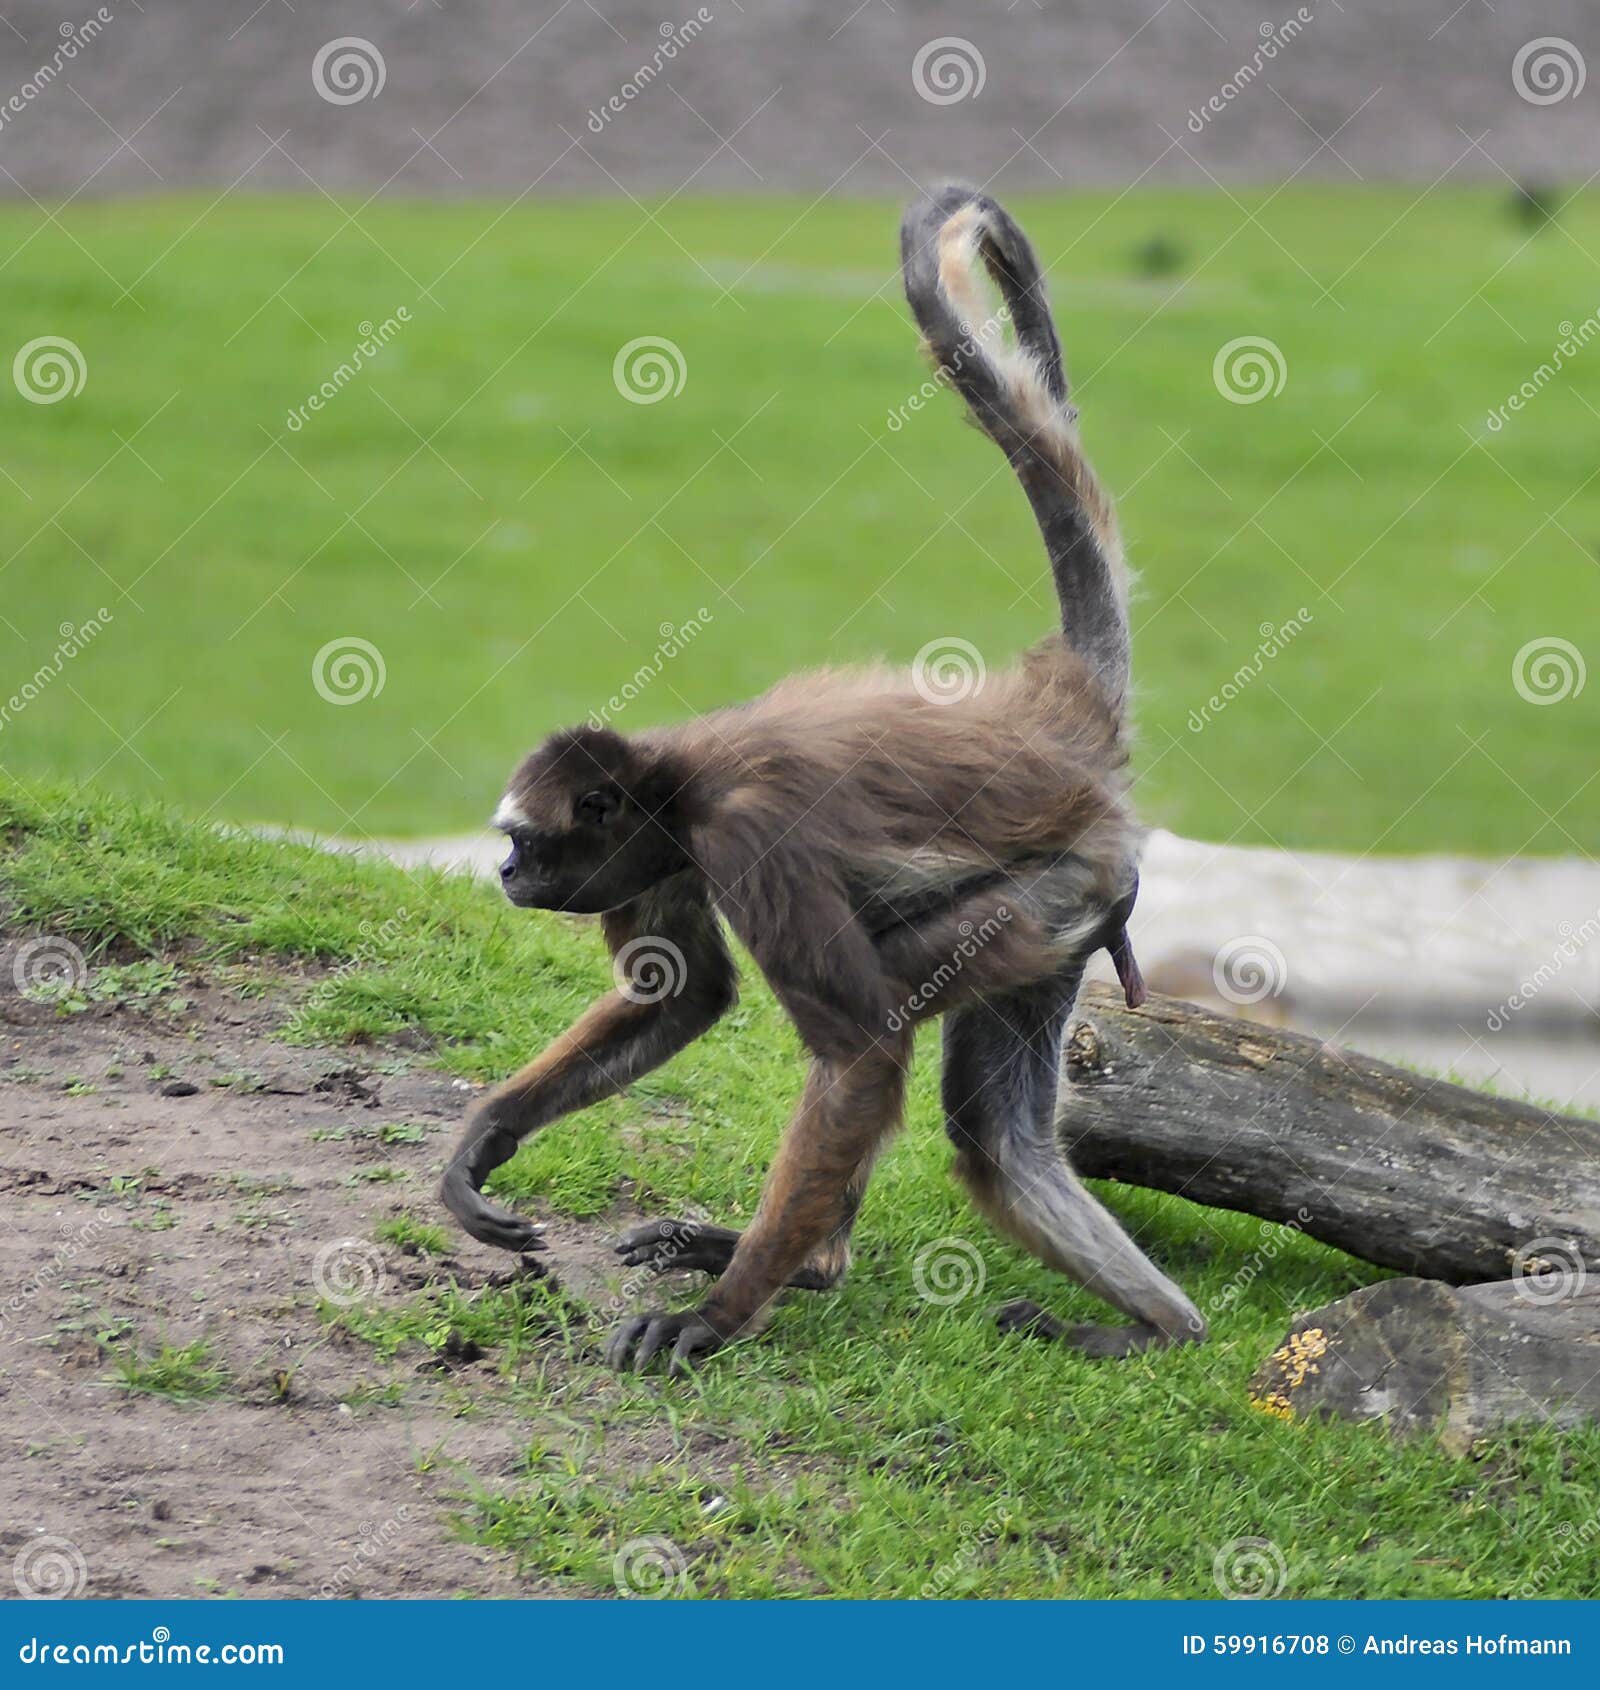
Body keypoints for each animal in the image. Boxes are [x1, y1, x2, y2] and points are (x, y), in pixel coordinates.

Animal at [440, 181, 1207, 1376]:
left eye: (522, 839)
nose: (507, 876)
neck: (681, 777)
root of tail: (1054, 715)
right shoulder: (671, 851)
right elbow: (683, 994)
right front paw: (485, 1140)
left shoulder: (745, 836)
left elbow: (856, 1057)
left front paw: (711, 1323)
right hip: (1078, 914)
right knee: (998, 1138)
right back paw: (1162, 1325)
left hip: (1057, 888)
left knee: (889, 1006)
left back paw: (799, 1268)